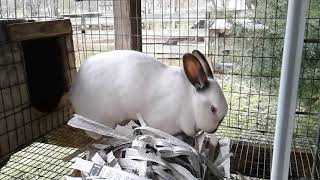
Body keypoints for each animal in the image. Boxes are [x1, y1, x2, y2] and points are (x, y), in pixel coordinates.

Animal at [70, 50, 228, 139]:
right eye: (213, 109)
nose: (213, 130)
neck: (190, 102)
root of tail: (75, 92)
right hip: (101, 118)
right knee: (93, 133)